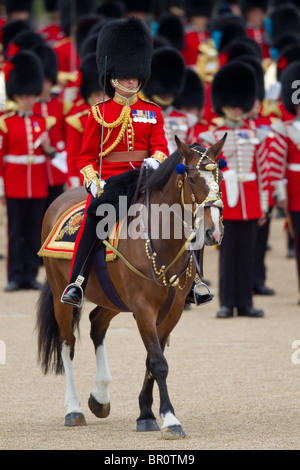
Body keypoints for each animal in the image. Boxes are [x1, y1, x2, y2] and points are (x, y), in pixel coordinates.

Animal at [35, 134, 225, 438]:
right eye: (194, 179)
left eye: (219, 176)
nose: (214, 232)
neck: (162, 239)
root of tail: (61, 199)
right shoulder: (143, 307)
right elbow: (158, 361)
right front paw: (170, 420)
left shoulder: (172, 310)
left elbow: (152, 359)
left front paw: (146, 413)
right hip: (59, 294)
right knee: (67, 344)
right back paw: (74, 409)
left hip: (113, 298)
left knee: (96, 324)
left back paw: (100, 398)